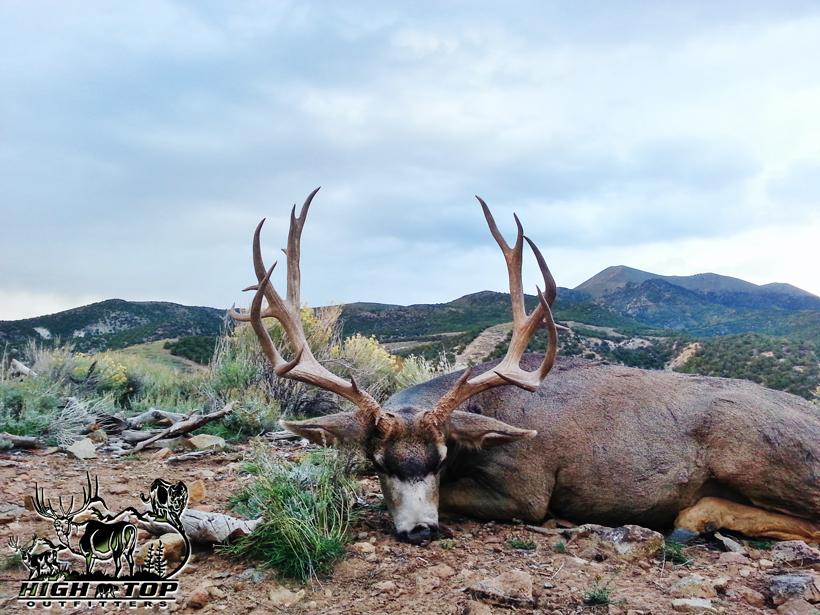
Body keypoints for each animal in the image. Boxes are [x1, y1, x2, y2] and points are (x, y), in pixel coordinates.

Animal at [232, 189, 820, 545]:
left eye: (442, 459)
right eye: (377, 461)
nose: (420, 531)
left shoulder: (528, 487)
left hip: (754, 456)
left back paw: (695, 517)